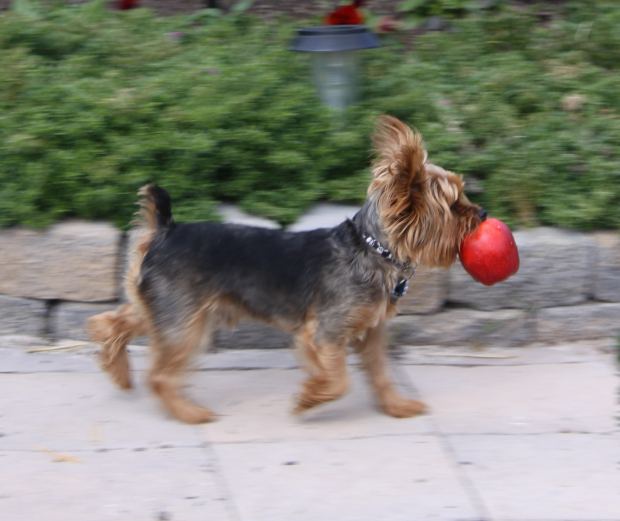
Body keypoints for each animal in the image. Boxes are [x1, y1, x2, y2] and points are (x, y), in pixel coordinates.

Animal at [87, 115, 484, 422]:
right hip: (186, 321)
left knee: (113, 321)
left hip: (165, 308)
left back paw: (117, 369)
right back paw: (189, 412)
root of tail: (165, 230)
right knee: (160, 374)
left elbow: (380, 372)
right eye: (453, 206)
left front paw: (396, 406)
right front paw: (309, 398)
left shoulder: (370, 333)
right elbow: (339, 379)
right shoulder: (324, 333)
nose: (482, 213)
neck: (374, 248)